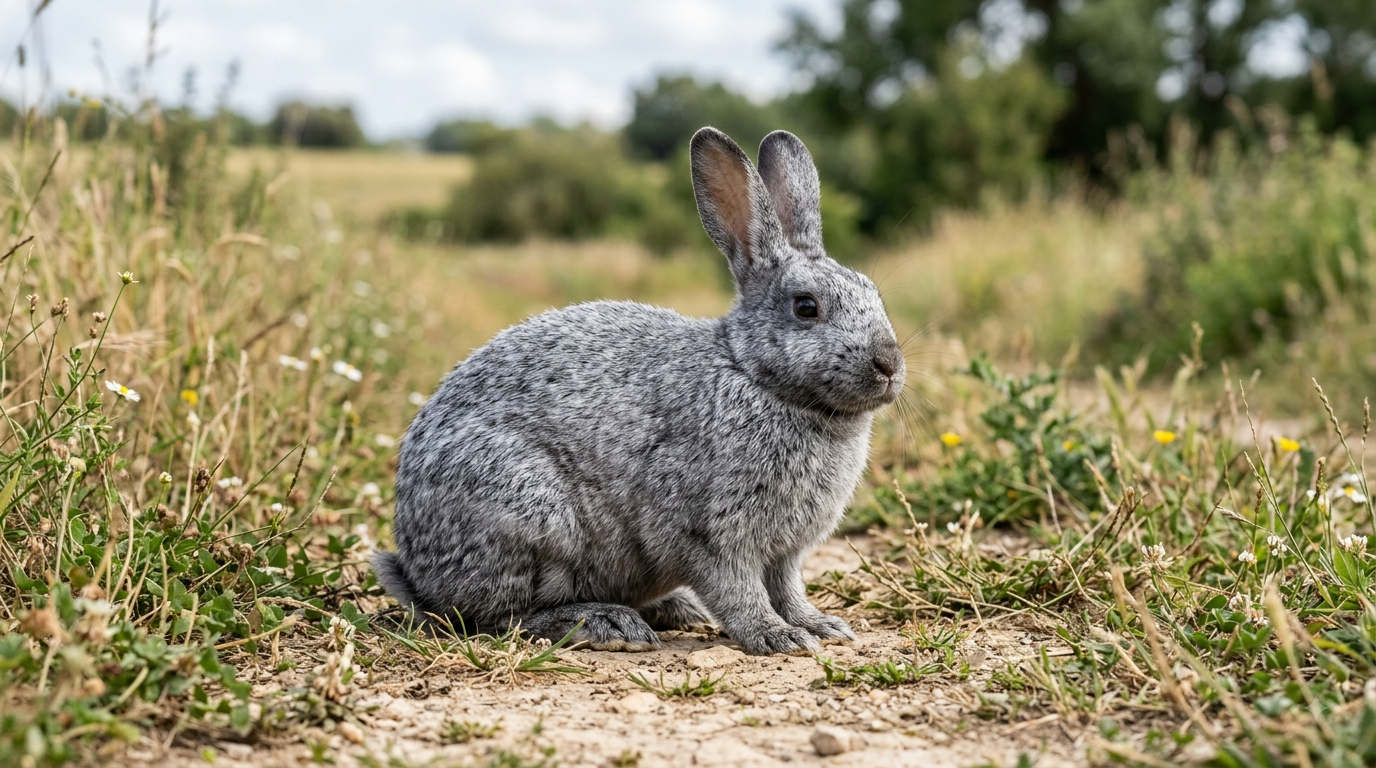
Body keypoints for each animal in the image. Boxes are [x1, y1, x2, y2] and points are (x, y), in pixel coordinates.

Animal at [372, 127, 905, 655]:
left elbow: (788, 588)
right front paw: (777, 637)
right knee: (499, 618)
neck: (754, 373)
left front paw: (820, 626)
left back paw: (672, 609)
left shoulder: (785, 551)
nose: (889, 365)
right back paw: (606, 623)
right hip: (533, 516)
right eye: (806, 307)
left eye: (874, 294)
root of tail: (417, 573)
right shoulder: (705, 532)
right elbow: (738, 591)